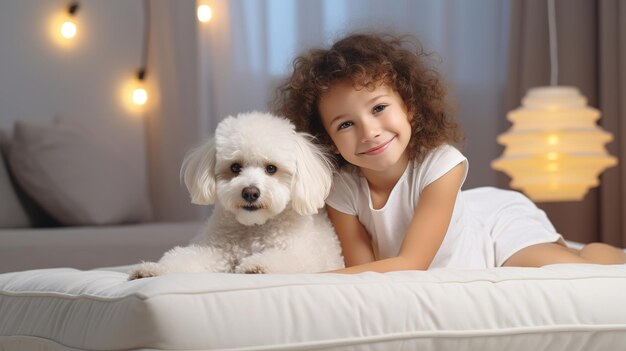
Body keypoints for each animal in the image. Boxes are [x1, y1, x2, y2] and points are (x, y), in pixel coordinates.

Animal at [127, 111, 342, 280]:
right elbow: (181, 257)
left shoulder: (302, 256)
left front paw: (256, 266)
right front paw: (153, 269)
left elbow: (281, 258)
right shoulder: (214, 251)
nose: (250, 192)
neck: (253, 228)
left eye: (271, 168)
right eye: (235, 167)